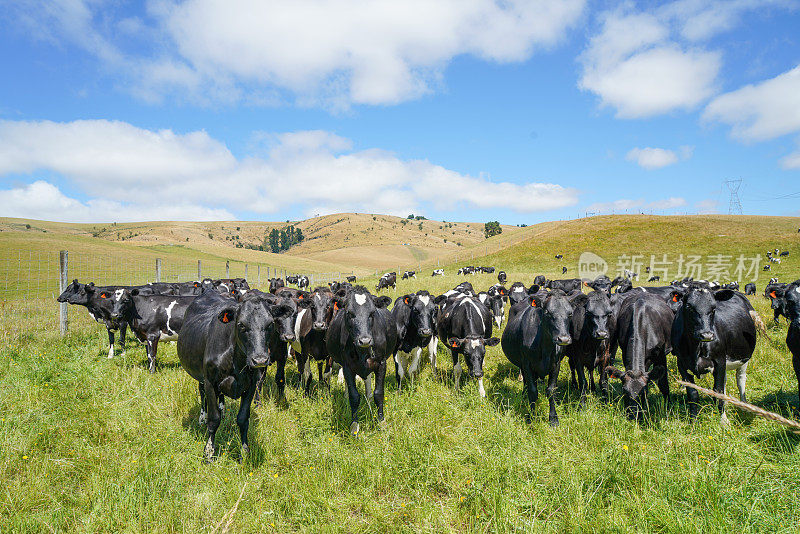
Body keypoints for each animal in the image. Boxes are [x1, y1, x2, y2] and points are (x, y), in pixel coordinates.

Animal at [326, 288, 398, 436]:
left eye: (372, 313)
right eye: (349, 313)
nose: (365, 340)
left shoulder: (381, 364)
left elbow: (379, 393)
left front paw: (381, 422)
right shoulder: (347, 367)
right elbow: (354, 396)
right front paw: (354, 426)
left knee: (368, 380)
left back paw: (368, 398)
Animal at [500, 292, 576, 426]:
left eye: (570, 313)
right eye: (547, 312)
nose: (564, 339)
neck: (545, 348)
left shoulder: (556, 364)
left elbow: (551, 391)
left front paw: (553, 419)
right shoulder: (527, 364)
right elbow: (533, 390)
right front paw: (532, 417)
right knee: (526, 382)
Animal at [672, 286, 760, 426]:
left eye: (714, 308)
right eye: (689, 306)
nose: (707, 335)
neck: (696, 348)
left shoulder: (719, 361)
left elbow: (718, 390)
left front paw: (723, 420)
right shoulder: (681, 363)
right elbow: (692, 393)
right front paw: (693, 420)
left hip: (743, 358)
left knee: (740, 379)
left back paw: (744, 404)